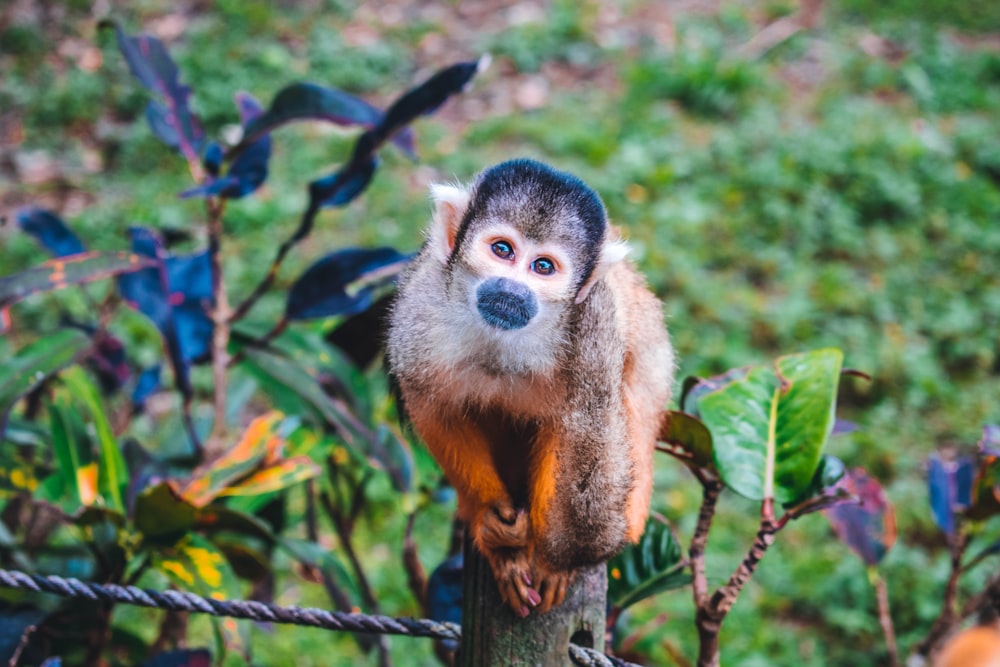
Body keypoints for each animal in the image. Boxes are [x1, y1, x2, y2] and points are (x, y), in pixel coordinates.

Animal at [386, 159, 676, 620]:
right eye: (503, 250)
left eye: (542, 267)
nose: (512, 289)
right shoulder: (419, 307)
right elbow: (433, 406)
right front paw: (490, 514)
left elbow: (568, 432)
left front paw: (550, 563)